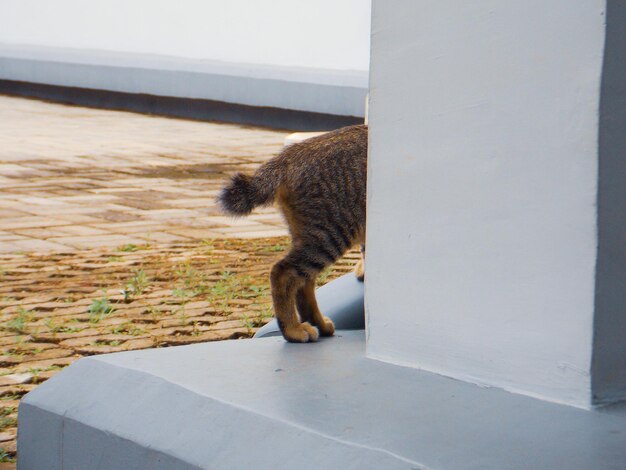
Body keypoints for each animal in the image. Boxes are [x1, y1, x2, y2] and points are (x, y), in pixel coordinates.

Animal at [218, 125, 366, 344]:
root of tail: (288, 156)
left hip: (313, 235)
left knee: (304, 281)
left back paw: (318, 324)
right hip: (331, 233)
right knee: (283, 273)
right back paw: (292, 329)